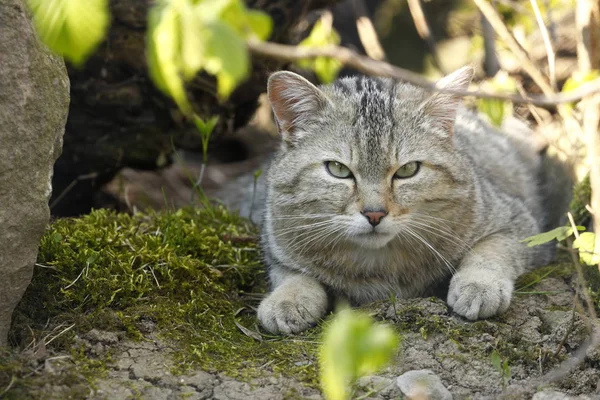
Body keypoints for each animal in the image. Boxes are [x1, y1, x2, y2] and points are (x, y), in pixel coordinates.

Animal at [219, 66, 568, 334]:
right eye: (338, 170)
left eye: (408, 170)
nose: (374, 214)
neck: (379, 265)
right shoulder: (276, 243)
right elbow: (293, 274)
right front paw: (288, 299)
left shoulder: (519, 223)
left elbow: (490, 251)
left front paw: (479, 284)